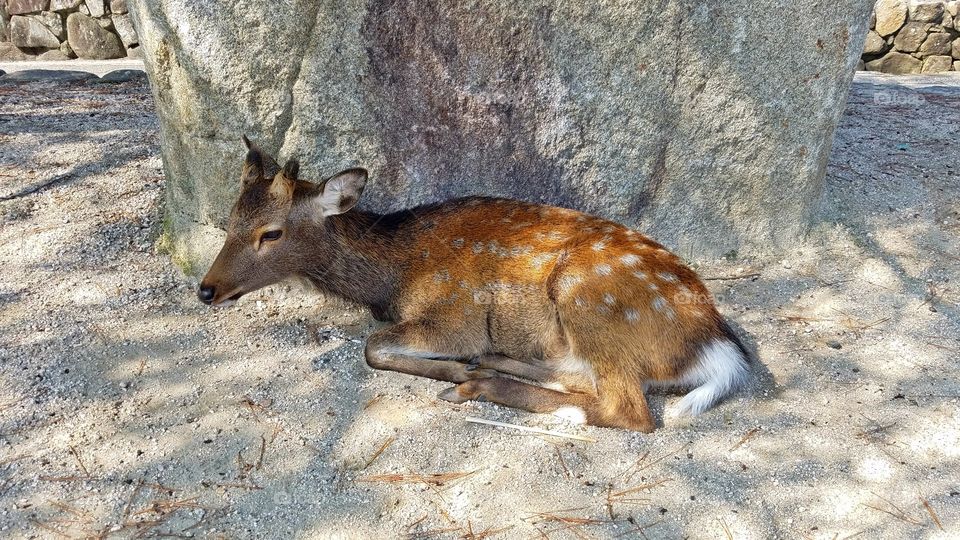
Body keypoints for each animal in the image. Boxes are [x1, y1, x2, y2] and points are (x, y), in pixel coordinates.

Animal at [197, 138, 752, 430]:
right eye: (230, 221)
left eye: (271, 232)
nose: (206, 288)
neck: (390, 278)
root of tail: (715, 347)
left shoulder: (456, 314)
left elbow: (373, 347)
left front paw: (449, 368)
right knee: (580, 378)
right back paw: (494, 364)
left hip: (589, 298)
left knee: (629, 410)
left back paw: (478, 381)